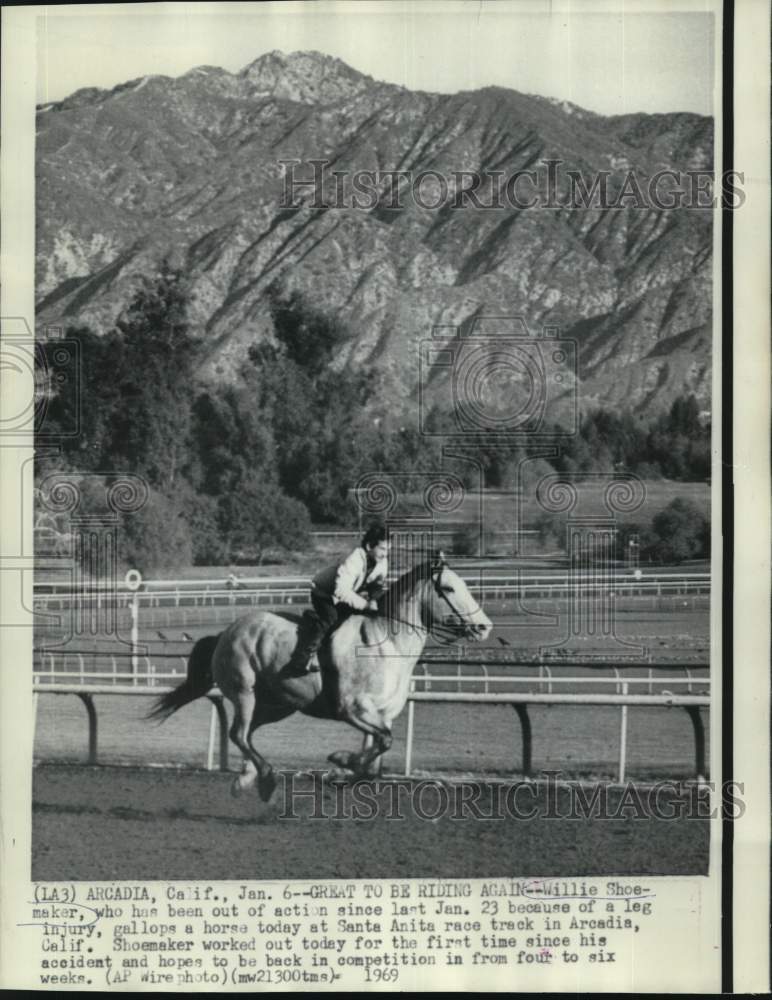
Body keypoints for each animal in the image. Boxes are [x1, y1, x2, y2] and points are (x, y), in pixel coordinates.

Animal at [148, 552, 492, 800]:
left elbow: (376, 760)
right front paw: (341, 760)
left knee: (247, 733)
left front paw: (344, 771)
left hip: (278, 704)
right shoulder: (352, 709)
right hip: (245, 691)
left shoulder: (383, 715)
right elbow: (382, 741)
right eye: (449, 588)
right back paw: (265, 779)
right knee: (238, 733)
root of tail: (226, 632)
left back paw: (247, 779)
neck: (386, 645)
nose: (485, 626)